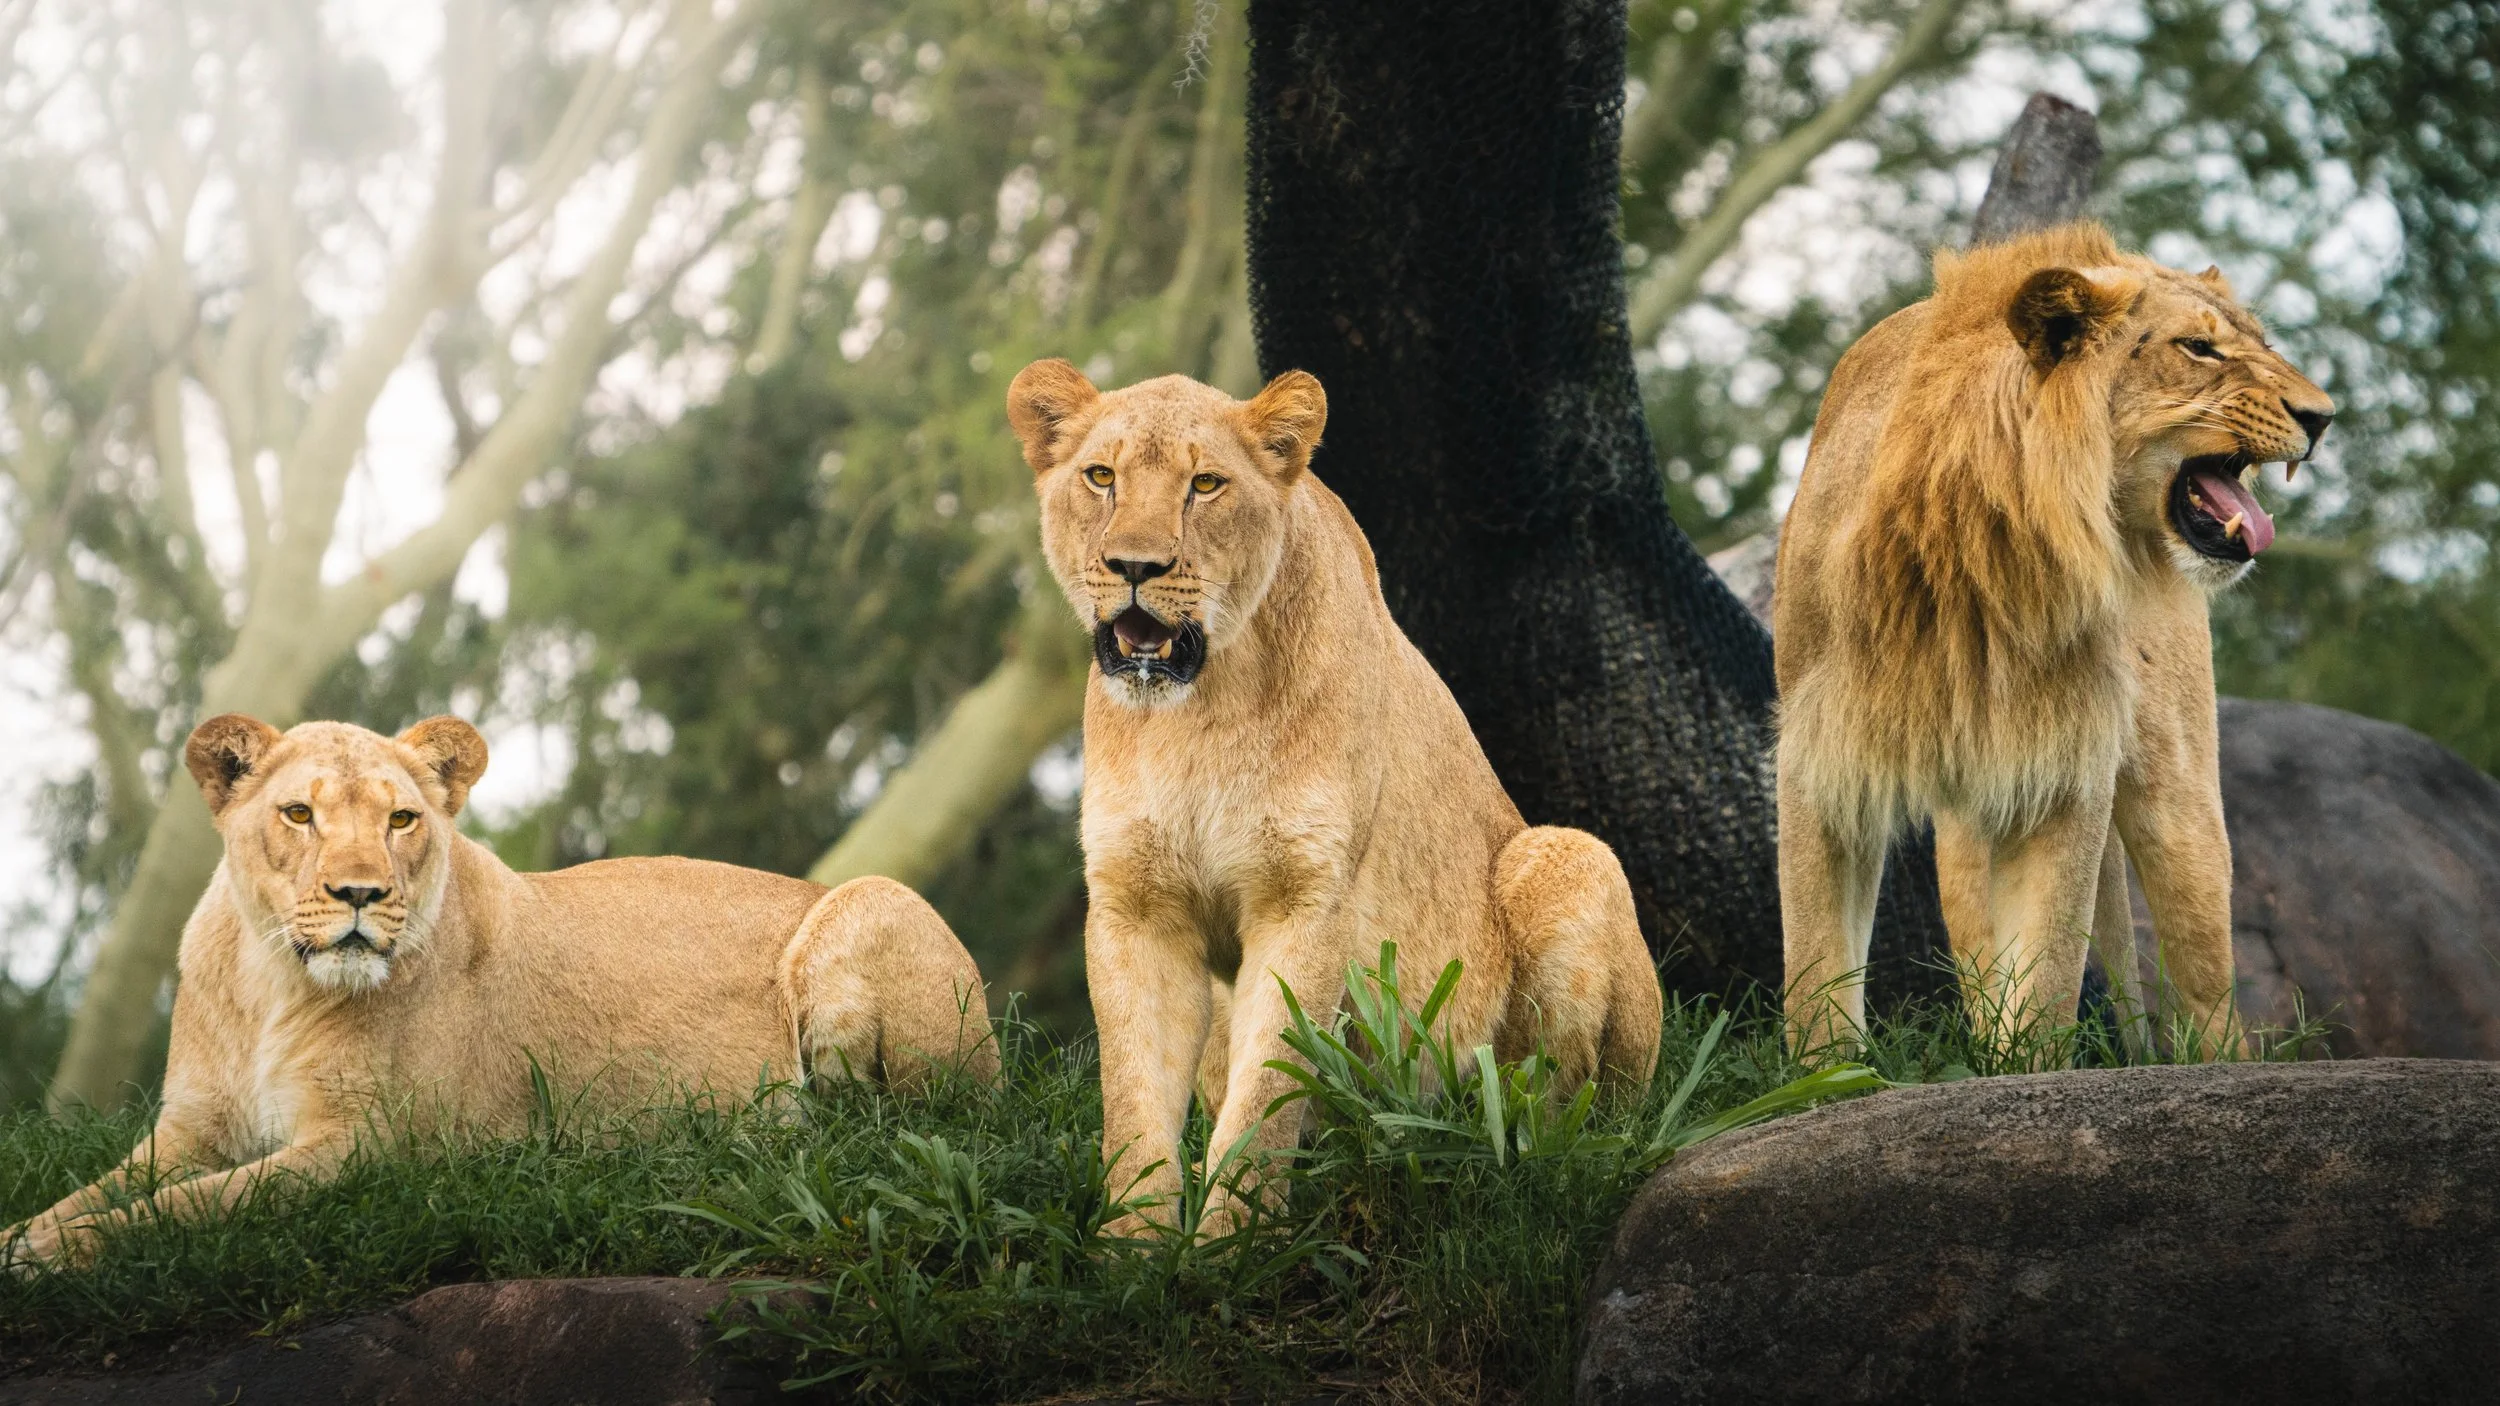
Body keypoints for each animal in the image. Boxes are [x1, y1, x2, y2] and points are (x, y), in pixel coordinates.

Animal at [5, 714, 994, 1271]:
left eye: (403, 818)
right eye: (299, 813)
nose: (360, 894)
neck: (272, 980)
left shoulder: (376, 1149)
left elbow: (186, 1209)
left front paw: (45, 1258)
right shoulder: (187, 1132)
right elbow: (102, 1193)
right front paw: (26, 1235)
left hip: (875, 902)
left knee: (891, 1129)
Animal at [1007, 359, 1662, 1230]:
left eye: (1205, 484)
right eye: (1101, 477)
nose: (1135, 568)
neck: (1200, 713)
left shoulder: (1307, 897)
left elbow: (1266, 1097)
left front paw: (1229, 1242)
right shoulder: (1136, 904)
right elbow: (1135, 1101)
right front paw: (1136, 1247)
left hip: (1568, 856)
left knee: (1568, 1119)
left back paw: (1479, 1149)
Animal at [1774, 222, 2334, 1057]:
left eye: (2262, 344)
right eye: (2199, 349)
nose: (2324, 417)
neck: (1986, 551)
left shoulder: (2068, 760)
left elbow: (2046, 975)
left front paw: (2032, 1071)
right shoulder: (1818, 750)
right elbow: (1814, 963)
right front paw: (1828, 1075)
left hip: (2179, 801)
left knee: (2206, 986)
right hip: (1965, 833)